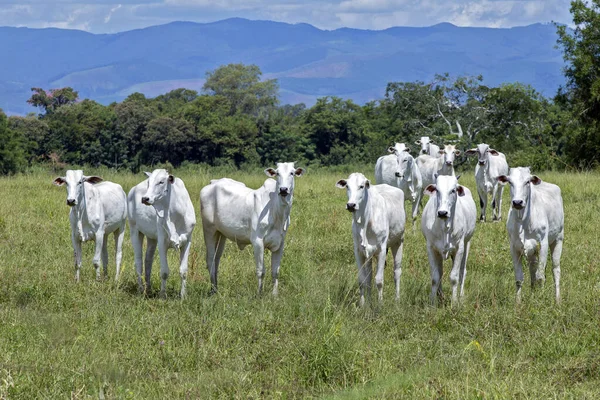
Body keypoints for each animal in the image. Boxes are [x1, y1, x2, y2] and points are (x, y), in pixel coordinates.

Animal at [127, 168, 196, 296]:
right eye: (148, 182)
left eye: (161, 182)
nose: (145, 198)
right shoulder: (162, 243)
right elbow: (164, 272)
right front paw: (163, 295)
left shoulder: (187, 241)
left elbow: (183, 271)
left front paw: (183, 295)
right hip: (134, 230)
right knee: (138, 262)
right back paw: (140, 289)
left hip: (152, 238)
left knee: (148, 260)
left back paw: (148, 289)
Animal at [200, 161, 304, 296]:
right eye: (277, 173)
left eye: (292, 173)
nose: (283, 189)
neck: (276, 211)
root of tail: (213, 183)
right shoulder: (257, 242)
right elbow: (261, 270)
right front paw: (259, 294)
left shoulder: (280, 243)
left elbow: (275, 271)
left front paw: (275, 295)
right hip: (209, 230)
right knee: (210, 260)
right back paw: (213, 290)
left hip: (221, 234)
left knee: (216, 259)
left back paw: (216, 288)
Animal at [336, 172, 406, 306]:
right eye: (347, 186)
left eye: (361, 186)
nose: (351, 205)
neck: (365, 221)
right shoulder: (358, 251)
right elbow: (362, 279)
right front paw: (364, 304)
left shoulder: (382, 250)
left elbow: (379, 280)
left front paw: (380, 305)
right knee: (369, 277)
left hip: (398, 242)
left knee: (397, 272)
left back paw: (397, 299)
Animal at [420, 173, 476, 304]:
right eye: (437, 190)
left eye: (453, 190)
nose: (442, 213)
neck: (445, 227)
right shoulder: (431, 248)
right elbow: (435, 277)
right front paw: (433, 303)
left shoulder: (459, 248)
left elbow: (454, 277)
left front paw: (454, 302)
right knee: (440, 272)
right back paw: (440, 296)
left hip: (467, 244)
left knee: (462, 271)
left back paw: (461, 295)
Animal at [496, 166, 564, 304]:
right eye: (510, 182)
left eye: (527, 182)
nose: (517, 202)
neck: (523, 220)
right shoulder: (515, 248)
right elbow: (519, 278)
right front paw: (518, 303)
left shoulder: (543, 244)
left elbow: (540, 276)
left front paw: (541, 300)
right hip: (532, 251)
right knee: (533, 271)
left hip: (558, 239)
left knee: (555, 270)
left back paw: (557, 299)